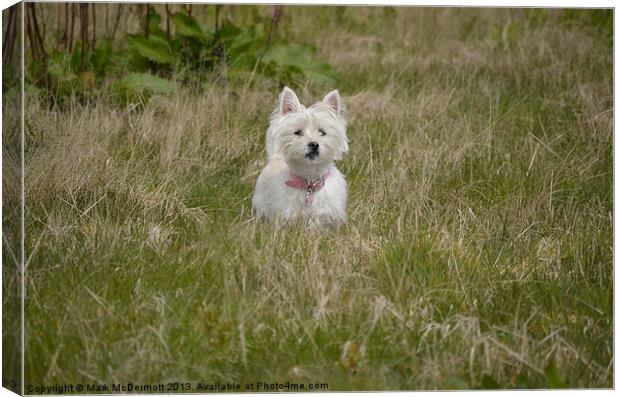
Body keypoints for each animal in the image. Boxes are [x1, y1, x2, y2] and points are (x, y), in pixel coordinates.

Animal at [252, 86, 348, 226]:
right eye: (298, 132)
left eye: (322, 132)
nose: (313, 144)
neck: (309, 183)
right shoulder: (287, 213)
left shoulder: (326, 213)